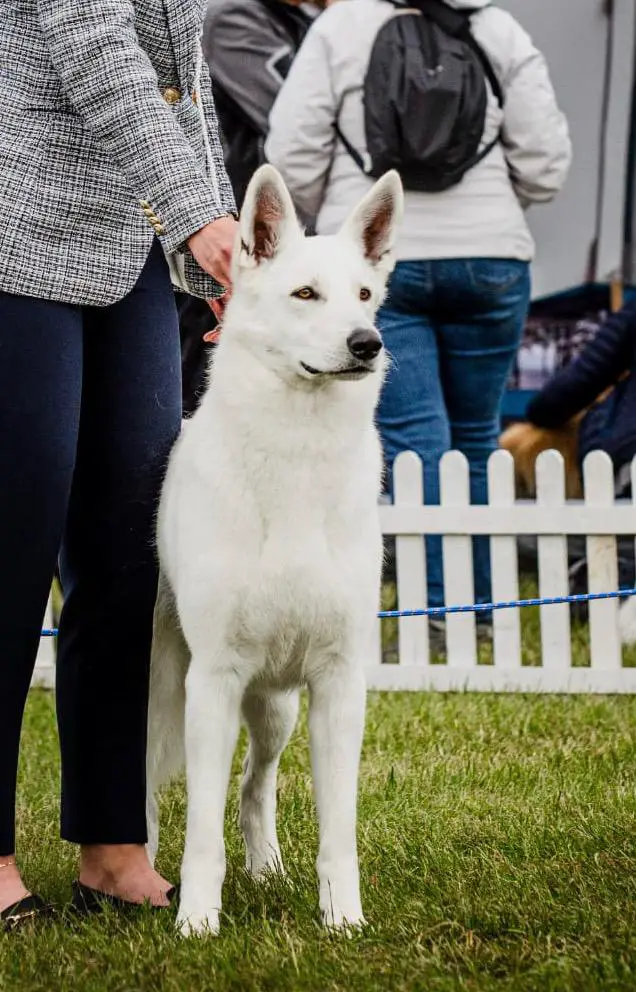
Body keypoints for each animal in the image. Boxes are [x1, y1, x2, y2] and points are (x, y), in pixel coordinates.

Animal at [146, 167, 402, 932]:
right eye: (305, 294)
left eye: (365, 294)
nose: (367, 343)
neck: (297, 454)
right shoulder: (214, 681)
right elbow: (201, 832)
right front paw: (196, 924)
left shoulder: (339, 685)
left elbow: (337, 827)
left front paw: (343, 920)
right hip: (166, 691)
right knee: (145, 789)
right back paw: (138, 873)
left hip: (278, 709)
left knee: (255, 787)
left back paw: (265, 869)